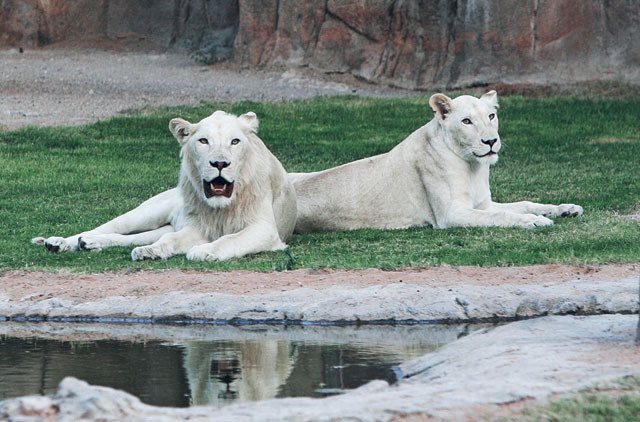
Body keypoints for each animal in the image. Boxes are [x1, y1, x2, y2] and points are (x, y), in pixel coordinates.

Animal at [32, 109, 298, 260]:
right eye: (203, 141)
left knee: (131, 237)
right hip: (147, 212)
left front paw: (204, 251)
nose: (220, 163)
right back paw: (62, 242)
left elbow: (230, 239)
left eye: (235, 141)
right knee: (111, 227)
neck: (222, 206)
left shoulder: (265, 229)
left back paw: (89, 245)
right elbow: (170, 241)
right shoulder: (197, 227)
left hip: (162, 225)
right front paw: (151, 253)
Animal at [288, 90, 584, 232]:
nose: (490, 141)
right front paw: (535, 222)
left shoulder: (482, 204)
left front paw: (565, 208)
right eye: (466, 121)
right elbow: (502, 215)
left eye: (491, 116)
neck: (473, 166)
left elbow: (525, 203)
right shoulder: (451, 214)